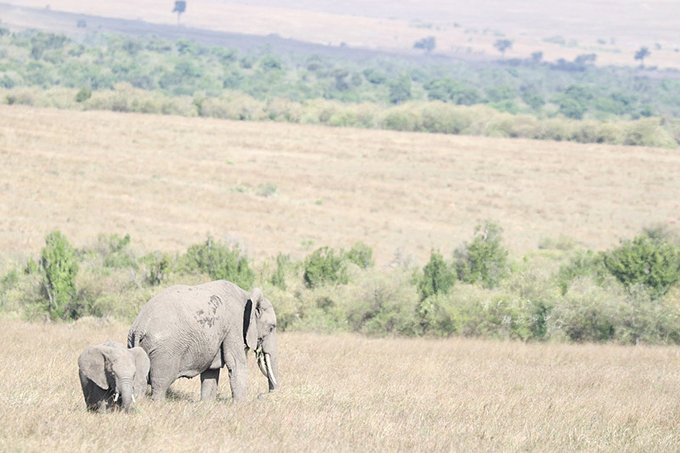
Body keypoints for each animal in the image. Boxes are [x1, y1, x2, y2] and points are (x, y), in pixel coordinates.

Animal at [126, 278, 278, 402]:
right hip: (165, 352)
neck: (247, 295)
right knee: (160, 384)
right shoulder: (234, 326)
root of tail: (139, 327)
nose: (262, 395)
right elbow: (236, 363)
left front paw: (206, 405)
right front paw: (240, 406)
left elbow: (211, 371)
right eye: (271, 328)